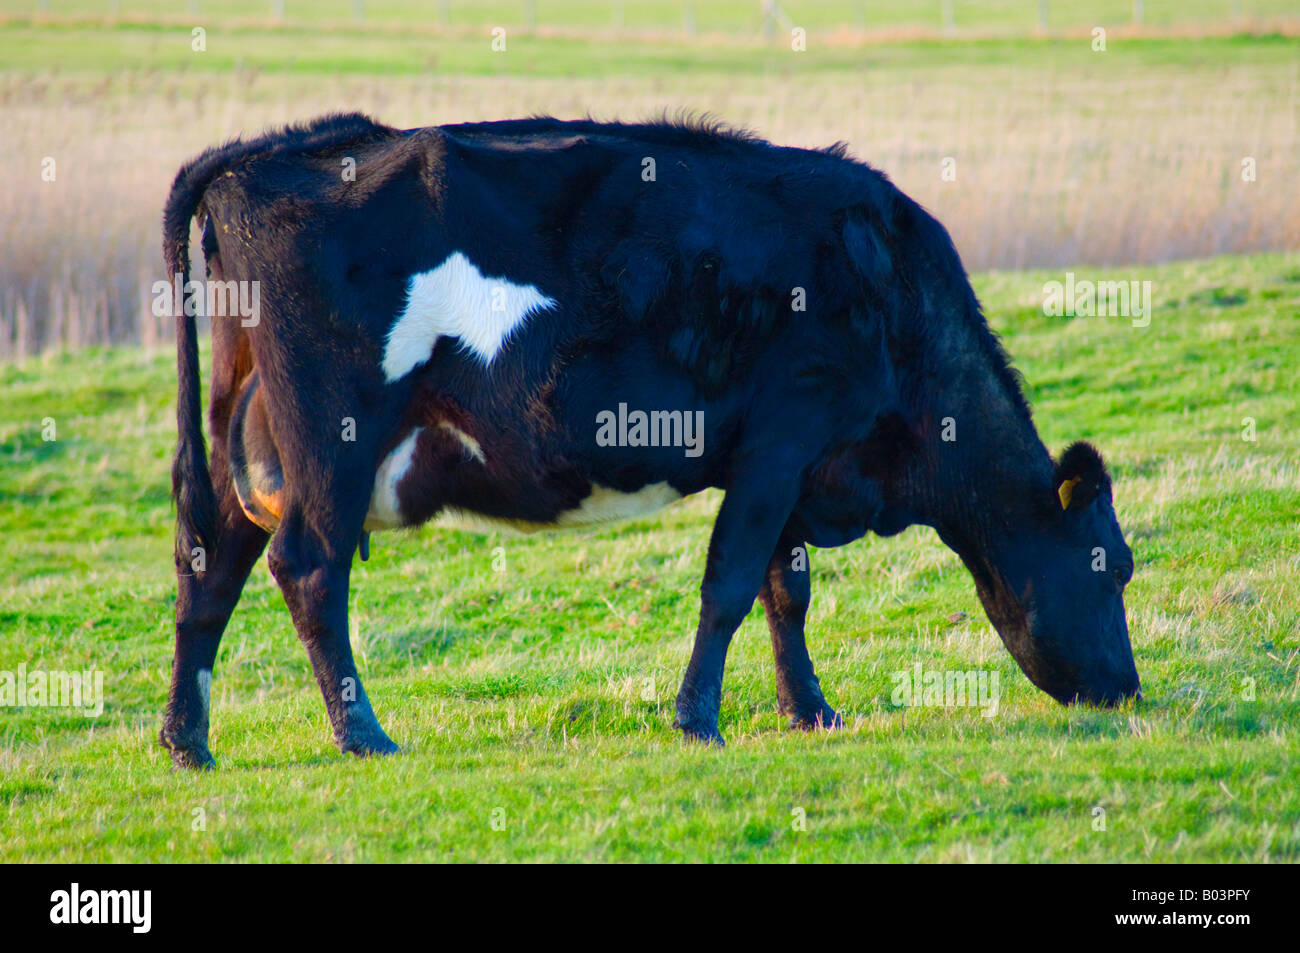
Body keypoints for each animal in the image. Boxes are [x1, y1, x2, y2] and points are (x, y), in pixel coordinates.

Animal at [159, 113, 1140, 769]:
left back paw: (187, 740)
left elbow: (786, 591)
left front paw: (809, 710)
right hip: (333, 438)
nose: (1128, 691)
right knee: (309, 568)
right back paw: (363, 734)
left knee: (211, 564)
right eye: (1117, 568)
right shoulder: (783, 440)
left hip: (247, 436)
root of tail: (278, 151)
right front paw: (698, 719)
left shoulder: (788, 464)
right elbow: (732, 584)